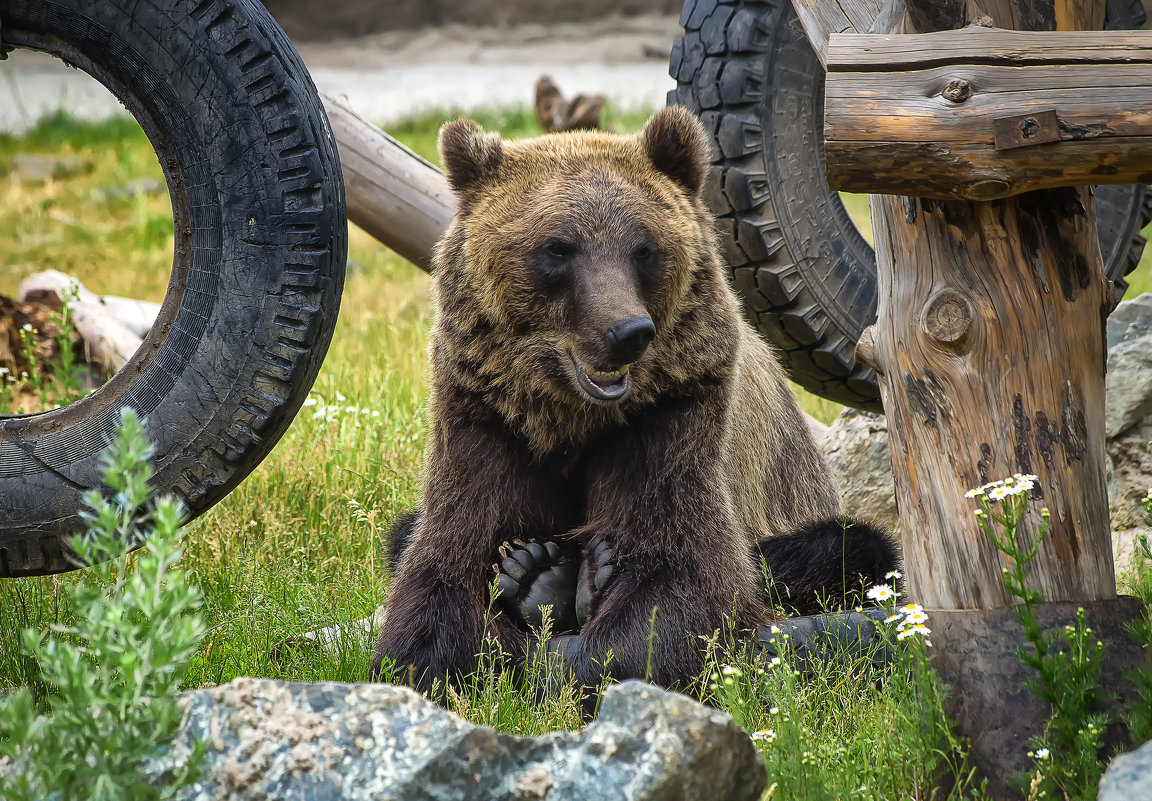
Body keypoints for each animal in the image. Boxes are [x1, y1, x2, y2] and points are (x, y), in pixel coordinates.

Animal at [373, 106, 893, 691]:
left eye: (644, 249)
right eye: (558, 249)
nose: (628, 332)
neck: (569, 419)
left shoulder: (671, 417)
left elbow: (676, 573)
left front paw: (587, 653)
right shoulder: (486, 419)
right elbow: (443, 572)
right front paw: (467, 637)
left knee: (842, 548)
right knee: (402, 532)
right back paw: (537, 573)